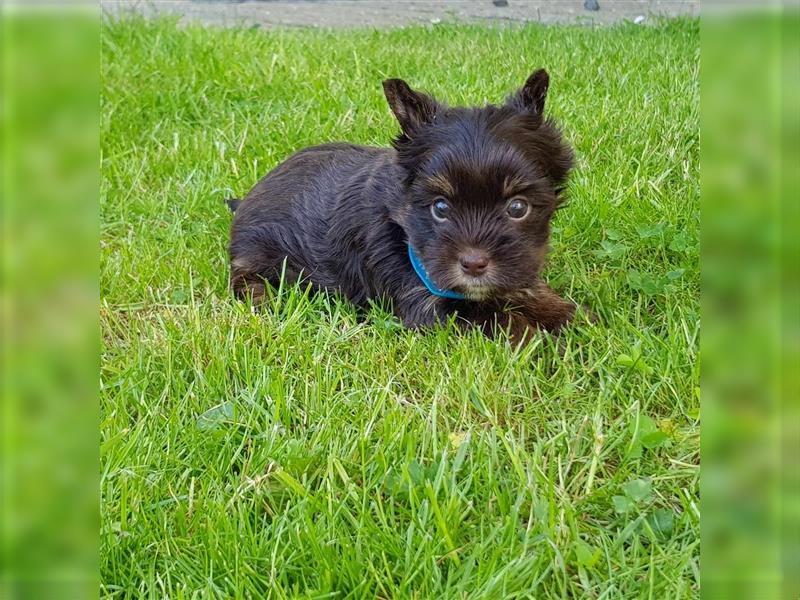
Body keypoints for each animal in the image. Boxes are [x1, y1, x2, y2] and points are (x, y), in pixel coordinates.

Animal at [228, 68, 584, 340]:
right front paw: (544, 342)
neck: (404, 224)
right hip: (255, 253)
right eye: (440, 208)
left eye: (517, 208)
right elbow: (496, 318)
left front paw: (571, 316)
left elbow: (528, 289)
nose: (474, 264)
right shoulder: (427, 304)